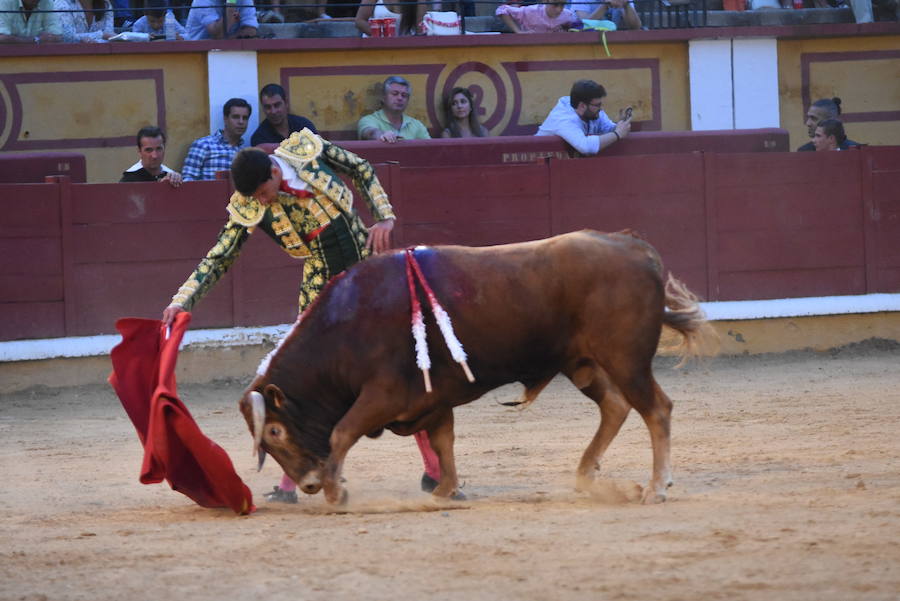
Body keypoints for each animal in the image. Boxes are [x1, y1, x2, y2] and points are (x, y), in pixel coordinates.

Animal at [239, 229, 716, 502]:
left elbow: (342, 431)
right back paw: (586, 477)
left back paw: (655, 487)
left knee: (655, 409)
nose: (308, 484)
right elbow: (444, 440)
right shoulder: (430, 398)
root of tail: (637, 249)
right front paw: (447, 490)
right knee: (615, 406)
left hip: (625, 359)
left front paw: (338, 492)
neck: (347, 325)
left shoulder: (383, 394)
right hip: (581, 362)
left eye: (275, 432)